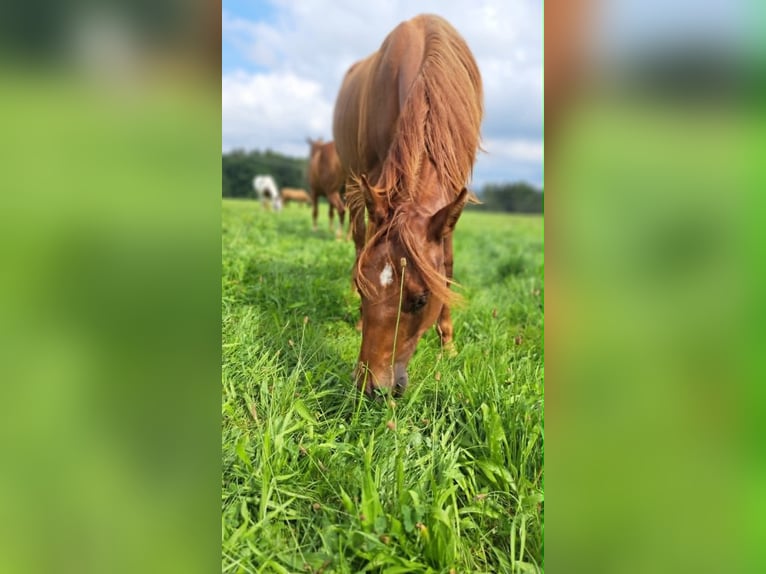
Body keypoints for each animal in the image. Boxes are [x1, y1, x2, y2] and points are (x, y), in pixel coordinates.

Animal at [333, 14, 483, 396]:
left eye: (420, 300)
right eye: (361, 288)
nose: (371, 387)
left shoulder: (452, 198)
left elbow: (445, 265)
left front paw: (448, 345)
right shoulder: (375, 182)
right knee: (358, 239)